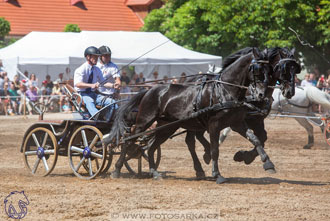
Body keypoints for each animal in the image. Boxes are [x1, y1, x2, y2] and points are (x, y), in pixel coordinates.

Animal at [104, 47, 274, 184]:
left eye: (269, 70)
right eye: (257, 69)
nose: (261, 95)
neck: (225, 90)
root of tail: (149, 90)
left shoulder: (237, 123)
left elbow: (256, 139)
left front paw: (268, 164)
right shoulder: (214, 125)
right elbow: (214, 150)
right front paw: (217, 175)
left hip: (166, 127)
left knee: (151, 146)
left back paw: (155, 172)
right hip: (144, 121)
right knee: (129, 140)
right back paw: (117, 170)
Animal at [184, 47, 300, 178]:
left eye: (296, 69)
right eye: (284, 69)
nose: (290, 92)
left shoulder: (257, 119)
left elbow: (262, 137)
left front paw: (245, 156)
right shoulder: (243, 121)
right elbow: (258, 137)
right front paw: (247, 157)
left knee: (198, 136)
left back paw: (207, 154)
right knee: (190, 141)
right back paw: (199, 167)